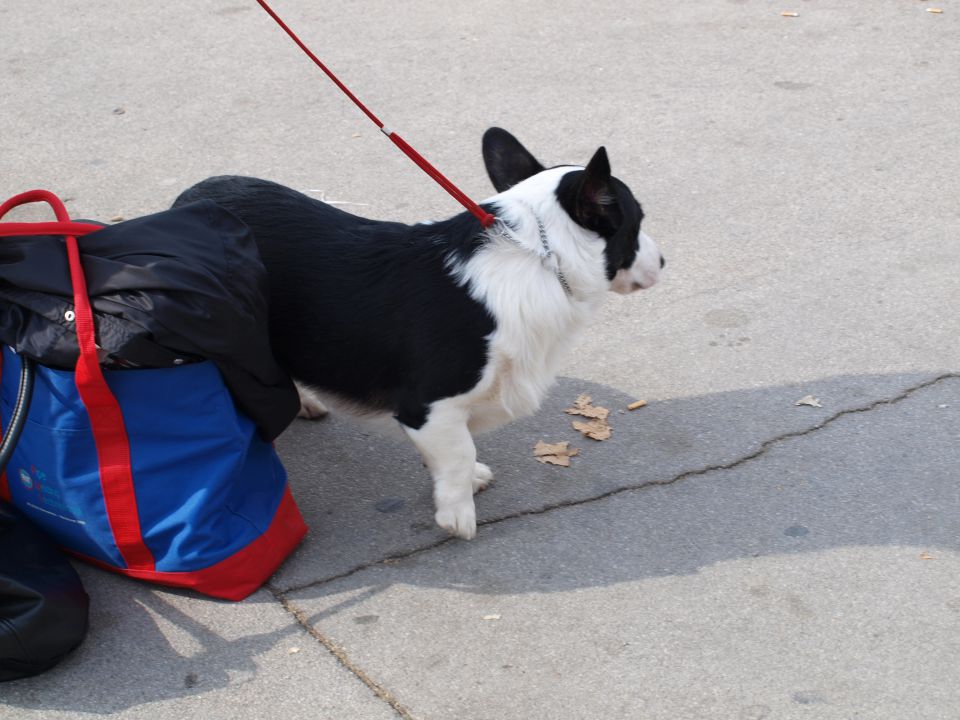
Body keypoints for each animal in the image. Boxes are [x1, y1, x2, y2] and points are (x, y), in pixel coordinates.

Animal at [174, 129, 660, 536]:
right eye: (635, 224)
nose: (664, 261)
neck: (539, 254)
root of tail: (185, 200)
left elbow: (454, 456)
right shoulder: (430, 406)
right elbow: (460, 455)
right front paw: (457, 516)